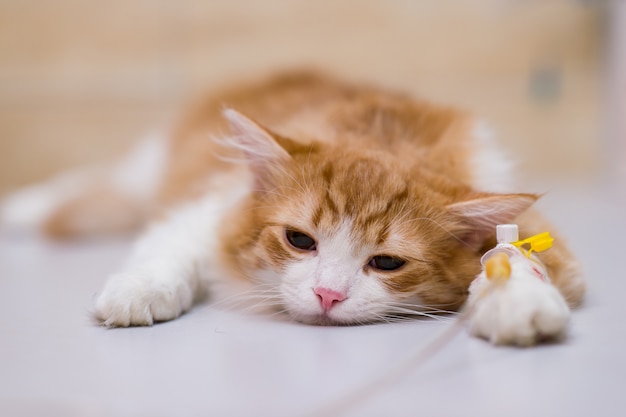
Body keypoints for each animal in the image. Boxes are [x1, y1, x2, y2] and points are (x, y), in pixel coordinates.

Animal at [2, 71, 584, 344]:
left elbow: (514, 259)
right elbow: (170, 252)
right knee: (94, 182)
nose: (327, 295)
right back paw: (22, 209)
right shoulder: (210, 204)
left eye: (387, 263)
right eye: (300, 240)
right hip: (148, 167)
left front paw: (518, 304)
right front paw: (139, 292)